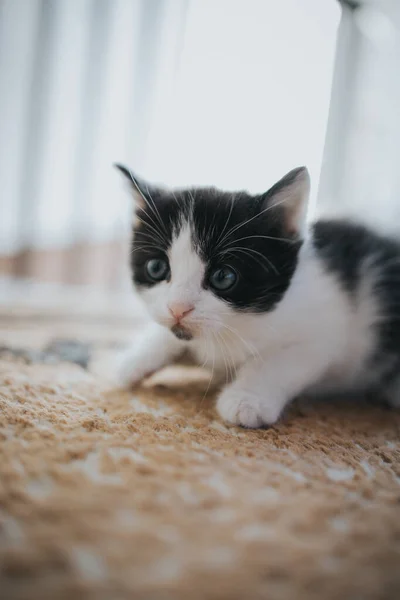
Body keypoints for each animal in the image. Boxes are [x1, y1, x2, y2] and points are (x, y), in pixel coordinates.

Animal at [115, 164, 400, 426]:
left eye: (223, 277)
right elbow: (170, 335)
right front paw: (129, 361)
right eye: (156, 268)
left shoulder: (326, 325)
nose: (178, 308)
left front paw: (246, 399)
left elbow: (280, 360)